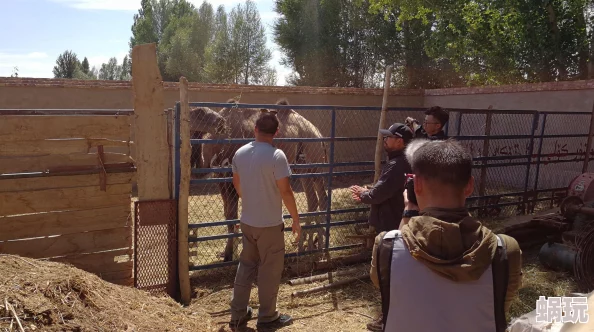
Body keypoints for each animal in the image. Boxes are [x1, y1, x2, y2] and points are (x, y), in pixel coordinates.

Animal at [188, 100, 328, 260]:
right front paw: (226, 252)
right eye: (199, 112)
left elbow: (232, 215)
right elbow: (227, 214)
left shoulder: (232, 176)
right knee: (318, 199)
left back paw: (307, 247)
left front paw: (230, 254)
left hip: (310, 162)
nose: (220, 122)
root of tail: (319, 134)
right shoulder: (220, 178)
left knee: (315, 200)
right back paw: (313, 246)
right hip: (309, 168)